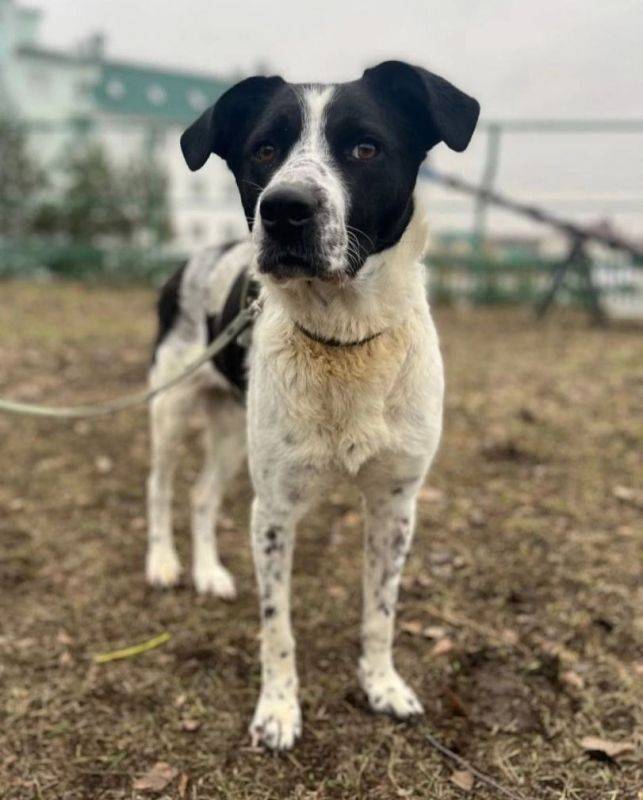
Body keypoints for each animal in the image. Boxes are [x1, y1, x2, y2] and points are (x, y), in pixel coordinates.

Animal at [146, 61, 478, 752]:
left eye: (365, 148)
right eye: (263, 150)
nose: (284, 210)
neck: (344, 340)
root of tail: (191, 259)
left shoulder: (395, 505)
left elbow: (380, 612)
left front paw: (382, 685)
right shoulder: (274, 510)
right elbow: (278, 627)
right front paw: (278, 709)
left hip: (230, 429)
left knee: (201, 494)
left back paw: (209, 573)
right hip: (169, 406)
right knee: (160, 486)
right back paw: (163, 563)